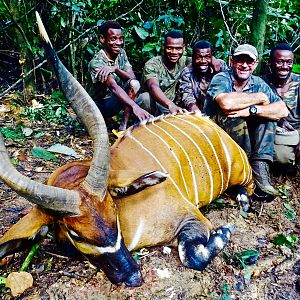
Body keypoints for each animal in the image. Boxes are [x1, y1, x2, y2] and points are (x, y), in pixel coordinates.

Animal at [0, 12, 253, 288]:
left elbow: (193, 256)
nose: (132, 275)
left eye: (114, 209)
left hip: (242, 173)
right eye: (74, 233)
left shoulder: (192, 217)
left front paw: (225, 231)